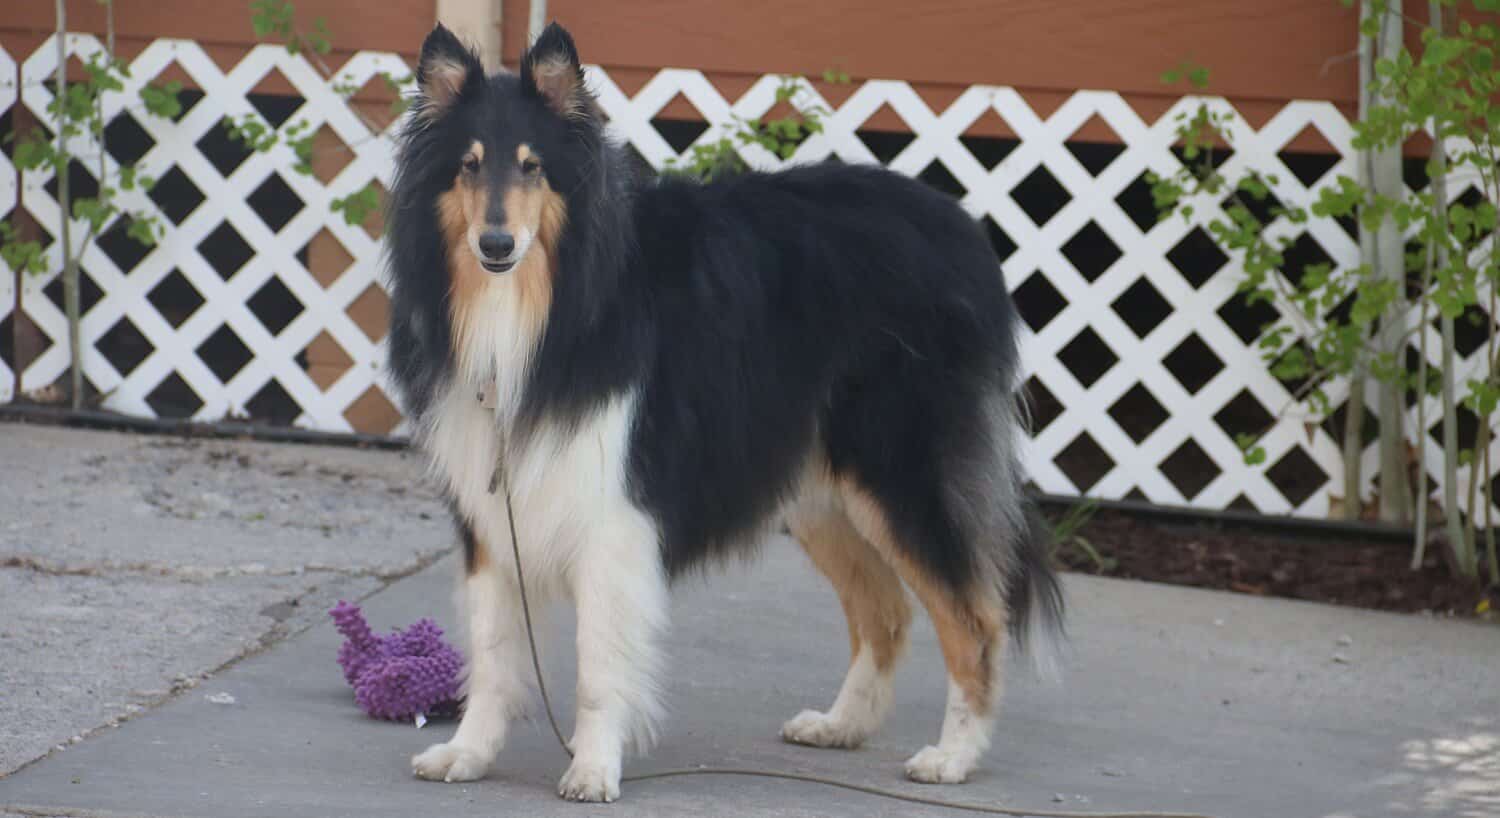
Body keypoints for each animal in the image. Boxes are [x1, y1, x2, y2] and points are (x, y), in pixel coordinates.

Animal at [387, 20, 1068, 804]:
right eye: (468, 168)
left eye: (532, 168)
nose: (495, 245)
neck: (544, 308)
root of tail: (963, 229)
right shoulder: (491, 513)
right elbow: (493, 650)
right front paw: (466, 754)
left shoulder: (611, 513)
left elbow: (598, 664)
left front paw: (592, 768)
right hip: (822, 491)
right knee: (887, 612)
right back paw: (840, 726)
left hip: (902, 474)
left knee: (975, 620)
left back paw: (952, 757)